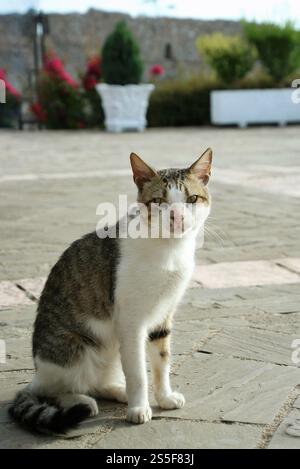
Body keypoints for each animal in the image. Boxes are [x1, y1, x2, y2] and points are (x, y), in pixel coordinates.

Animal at [9, 148, 213, 434]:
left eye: (192, 199)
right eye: (159, 201)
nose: (177, 216)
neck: (168, 249)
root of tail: (38, 371)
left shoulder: (164, 315)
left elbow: (162, 361)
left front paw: (163, 397)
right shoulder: (130, 322)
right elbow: (138, 372)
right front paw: (139, 408)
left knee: (97, 383)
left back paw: (118, 391)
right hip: (74, 349)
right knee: (52, 390)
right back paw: (81, 401)